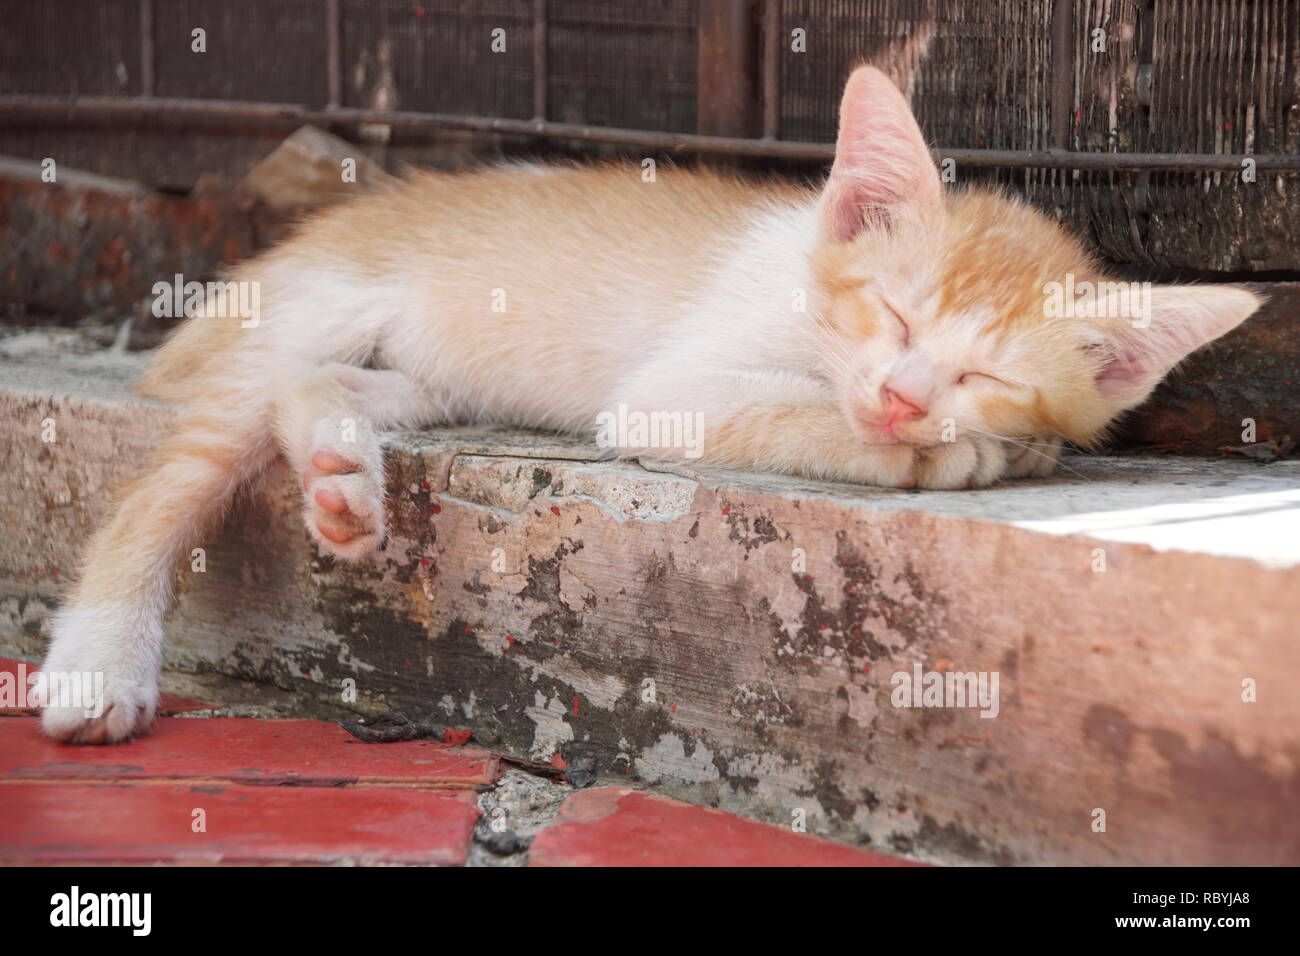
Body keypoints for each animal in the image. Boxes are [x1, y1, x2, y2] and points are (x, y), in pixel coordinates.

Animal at [38, 67, 1258, 743]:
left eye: (989, 374)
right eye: (896, 317)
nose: (905, 397)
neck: (810, 296)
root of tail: (320, 230)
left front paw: (994, 441)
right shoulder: (671, 392)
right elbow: (800, 416)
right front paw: (944, 457)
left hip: (428, 370)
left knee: (322, 388)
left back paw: (340, 478)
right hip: (311, 311)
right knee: (168, 477)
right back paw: (101, 657)